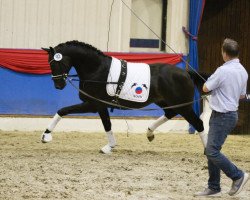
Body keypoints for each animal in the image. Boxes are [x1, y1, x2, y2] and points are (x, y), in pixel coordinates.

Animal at [42, 40, 208, 153]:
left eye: (55, 63)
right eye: (49, 63)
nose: (58, 85)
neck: (97, 70)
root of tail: (186, 72)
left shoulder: (95, 104)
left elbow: (64, 111)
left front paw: (46, 135)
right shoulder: (98, 106)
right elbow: (105, 124)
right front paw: (109, 147)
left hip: (184, 106)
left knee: (198, 123)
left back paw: (208, 152)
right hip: (167, 102)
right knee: (170, 113)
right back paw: (149, 132)